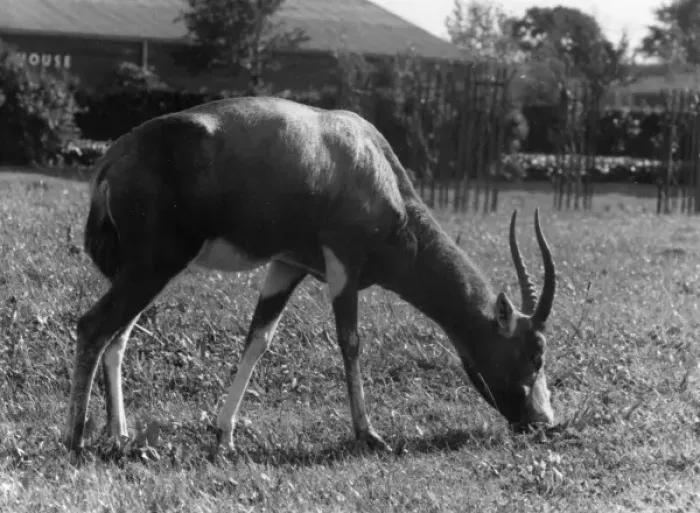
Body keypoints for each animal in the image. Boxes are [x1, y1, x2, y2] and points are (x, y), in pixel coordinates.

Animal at [65, 96, 557, 454]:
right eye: (535, 353)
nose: (543, 423)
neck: (368, 160)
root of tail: (112, 160)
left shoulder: (287, 266)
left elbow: (258, 339)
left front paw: (224, 435)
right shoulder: (343, 265)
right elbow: (351, 342)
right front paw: (368, 434)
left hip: (144, 270)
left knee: (118, 336)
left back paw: (119, 434)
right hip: (155, 266)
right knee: (93, 326)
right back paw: (75, 440)